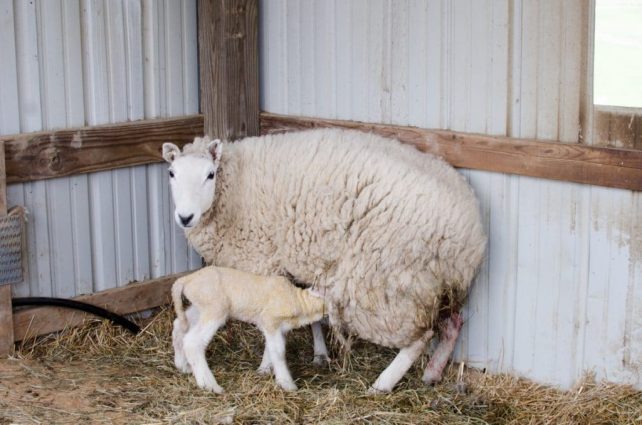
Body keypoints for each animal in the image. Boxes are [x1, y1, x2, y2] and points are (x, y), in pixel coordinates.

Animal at [172, 265, 325, 393]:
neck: (299, 300)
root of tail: (187, 279)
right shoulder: (270, 320)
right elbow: (279, 351)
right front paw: (287, 384)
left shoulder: (275, 327)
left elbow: (271, 348)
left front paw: (263, 370)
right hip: (214, 308)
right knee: (192, 342)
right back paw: (209, 384)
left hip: (200, 307)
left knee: (179, 326)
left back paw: (182, 365)